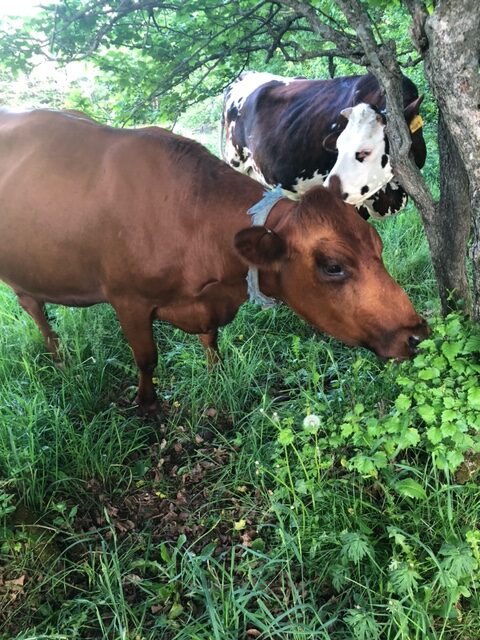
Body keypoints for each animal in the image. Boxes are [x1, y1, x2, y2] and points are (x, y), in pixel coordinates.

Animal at [0, 109, 428, 412]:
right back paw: (61, 363)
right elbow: (147, 359)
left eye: (378, 247)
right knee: (37, 313)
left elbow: (211, 341)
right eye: (333, 266)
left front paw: (215, 373)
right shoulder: (129, 301)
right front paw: (148, 406)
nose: (418, 335)